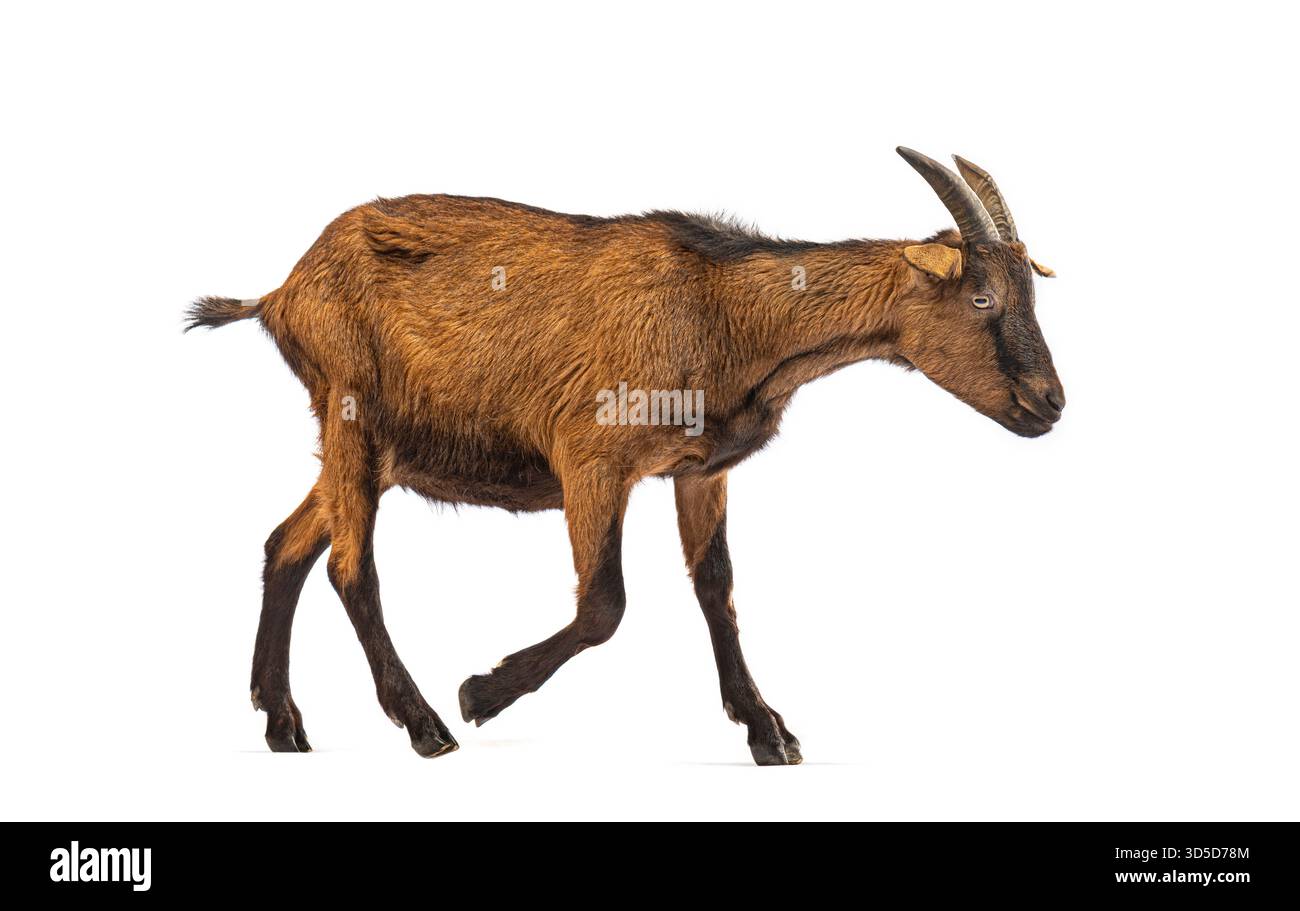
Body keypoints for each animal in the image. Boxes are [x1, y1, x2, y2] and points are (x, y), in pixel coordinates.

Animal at [188, 147, 1064, 765]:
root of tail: (282, 292)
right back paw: (426, 723)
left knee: (287, 544)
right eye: (983, 296)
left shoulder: (700, 471)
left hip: (378, 452)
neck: (723, 310)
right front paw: (480, 691)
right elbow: (604, 604)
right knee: (349, 564)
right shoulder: (592, 457)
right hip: (352, 414)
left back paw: (283, 722)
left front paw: (768, 731)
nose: (1051, 403)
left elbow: (717, 589)